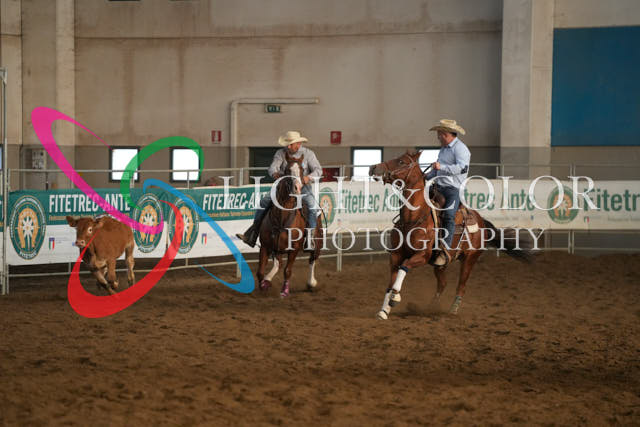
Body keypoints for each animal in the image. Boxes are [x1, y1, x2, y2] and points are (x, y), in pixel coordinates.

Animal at [255, 152, 322, 297]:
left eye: (302, 170)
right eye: (287, 170)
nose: (297, 188)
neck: (282, 217)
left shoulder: (294, 249)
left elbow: (287, 271)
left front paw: (284, 291)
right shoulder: (265, 245)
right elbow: (260, 271)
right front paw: (264, 284)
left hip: (318, 242)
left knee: (312, 259)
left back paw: (311, 283)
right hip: (277, 248)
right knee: (278, 264)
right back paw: (268, 279)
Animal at [369, 149, 534, 320]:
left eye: (401, 162)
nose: (374, 168)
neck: (414, 217)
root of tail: (481, 221)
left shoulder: (422, 256)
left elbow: (404, 267)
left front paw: (395, 297)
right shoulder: (396, 255)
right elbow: (390, 283)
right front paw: (384, 310)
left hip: (470, 259)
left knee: (461, 285)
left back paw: (453, 309)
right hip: (441, 264)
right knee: (443, 283)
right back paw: (431, 306)